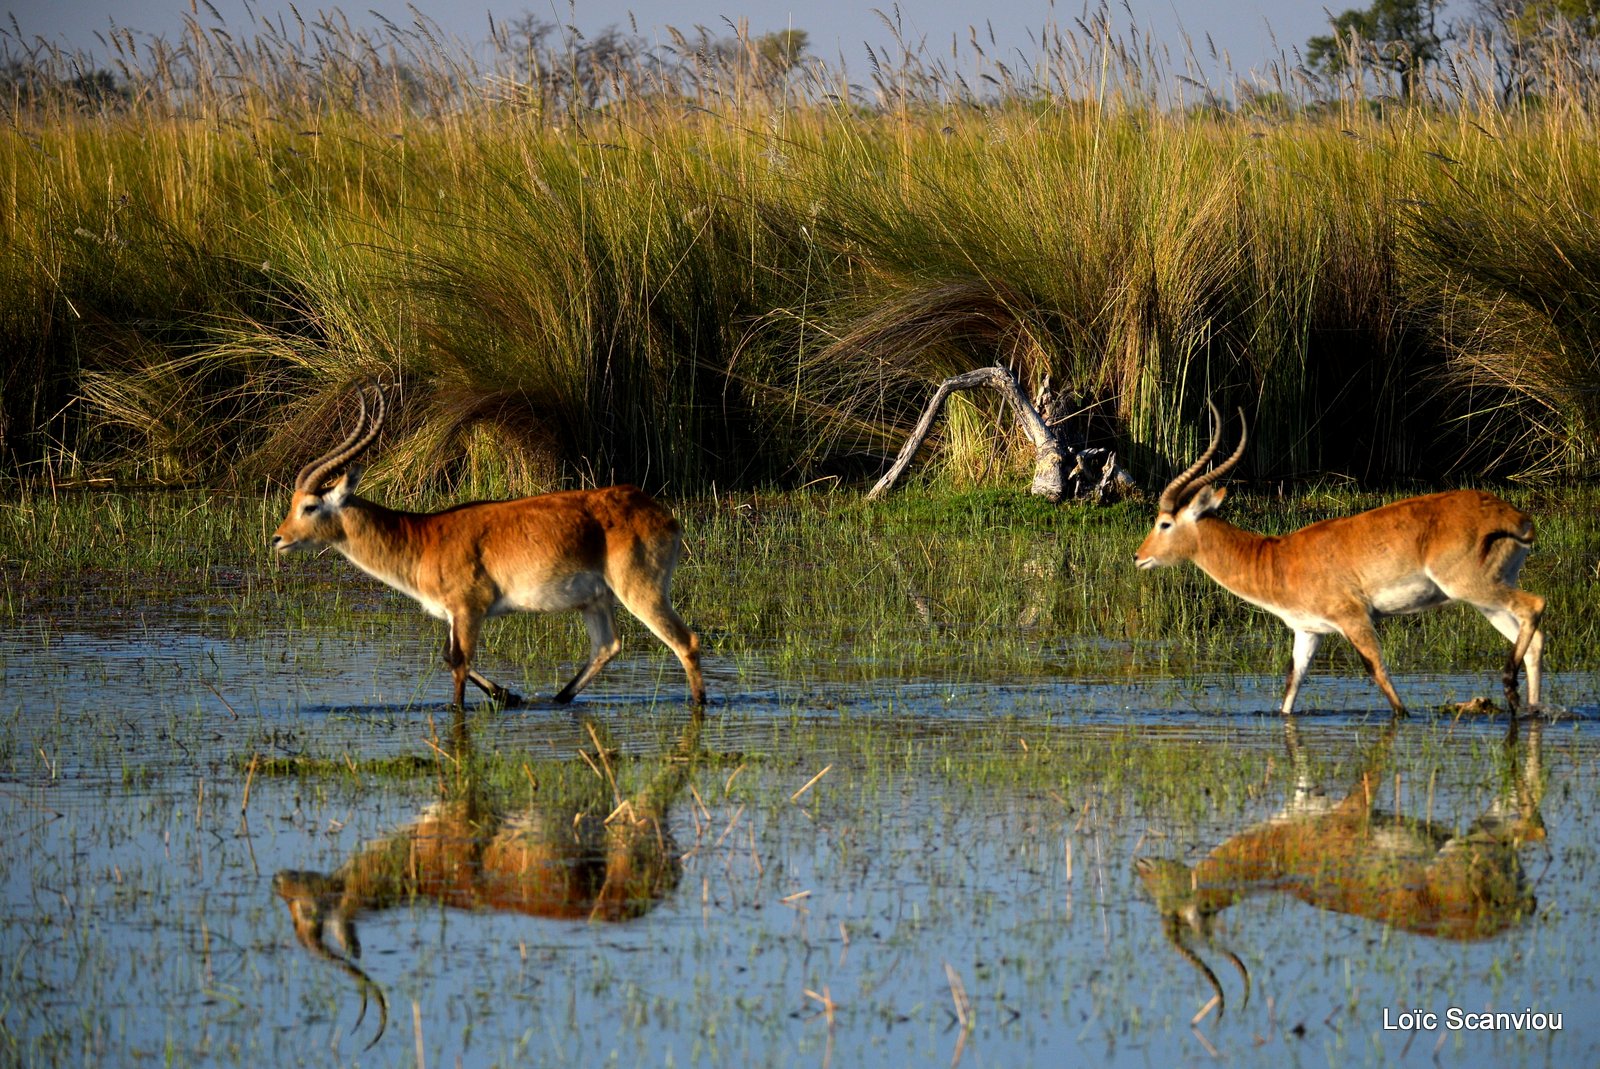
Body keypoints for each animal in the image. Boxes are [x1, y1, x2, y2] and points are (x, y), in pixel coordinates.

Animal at [273, 385, 707, 710]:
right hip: (596, 601)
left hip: (641, 592)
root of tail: (658, 512)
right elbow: (448, 657)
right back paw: (554, 700)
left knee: (685, 642)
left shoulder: (470, 609)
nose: (278, 538)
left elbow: (459, 665)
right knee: (607, 646)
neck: (423, 536)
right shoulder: (452, 615)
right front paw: (507, 695)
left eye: (309, 506)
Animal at [1132, 400, 1542, 716]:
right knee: (1533, 637)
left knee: (1535, 606)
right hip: (1485, 599)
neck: (1278, 558)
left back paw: (1510, 690)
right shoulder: (1308, 632)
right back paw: (1530, 709)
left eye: (1165, 522)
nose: (1139, 557)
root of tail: (1514, 516)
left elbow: (1381, 677)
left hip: (1474, 587)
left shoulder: (1354, 618)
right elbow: (1291, 689)